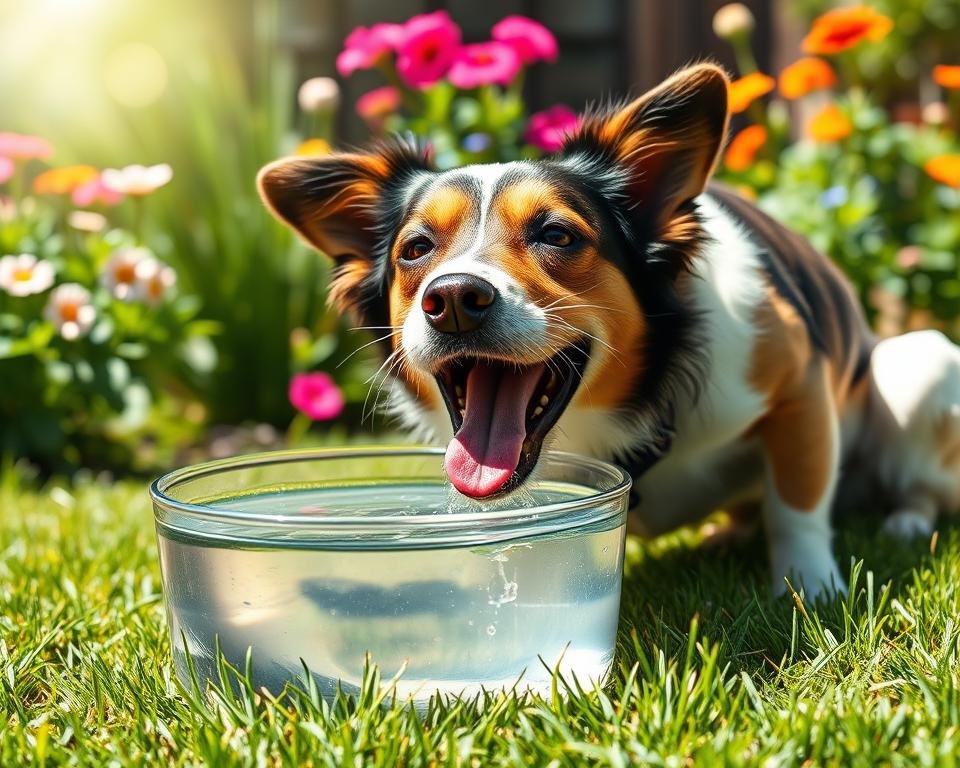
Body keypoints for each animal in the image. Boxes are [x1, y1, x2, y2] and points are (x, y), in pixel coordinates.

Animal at [258, 63, 960, 596]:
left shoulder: (800, 385)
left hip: (918, 363)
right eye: (416, 249)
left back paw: (903, 522)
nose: (453, 297)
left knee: (917, 486)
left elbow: (798, 505)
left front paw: (809, 589)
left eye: (556, 234)